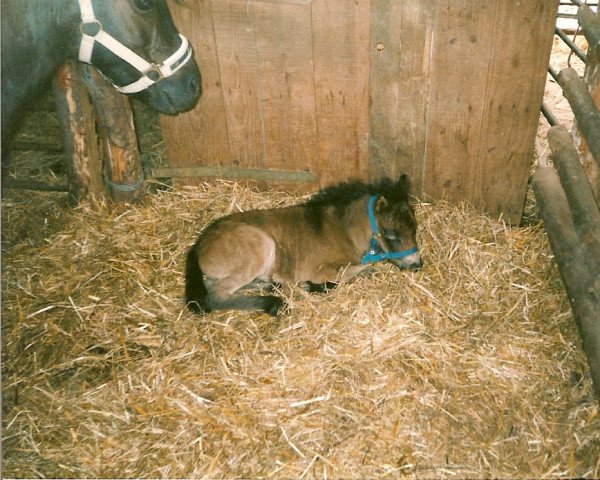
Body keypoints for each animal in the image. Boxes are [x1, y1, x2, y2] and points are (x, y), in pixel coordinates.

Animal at [185, 173, 420, 316]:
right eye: (391, 234)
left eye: (415, 227)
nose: (417, 264)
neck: (345, 231)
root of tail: (199, 244)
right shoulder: (323, 270)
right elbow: (361, 271)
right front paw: (316, 285)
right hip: (261, 247)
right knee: (215, 295)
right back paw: (273, 302)